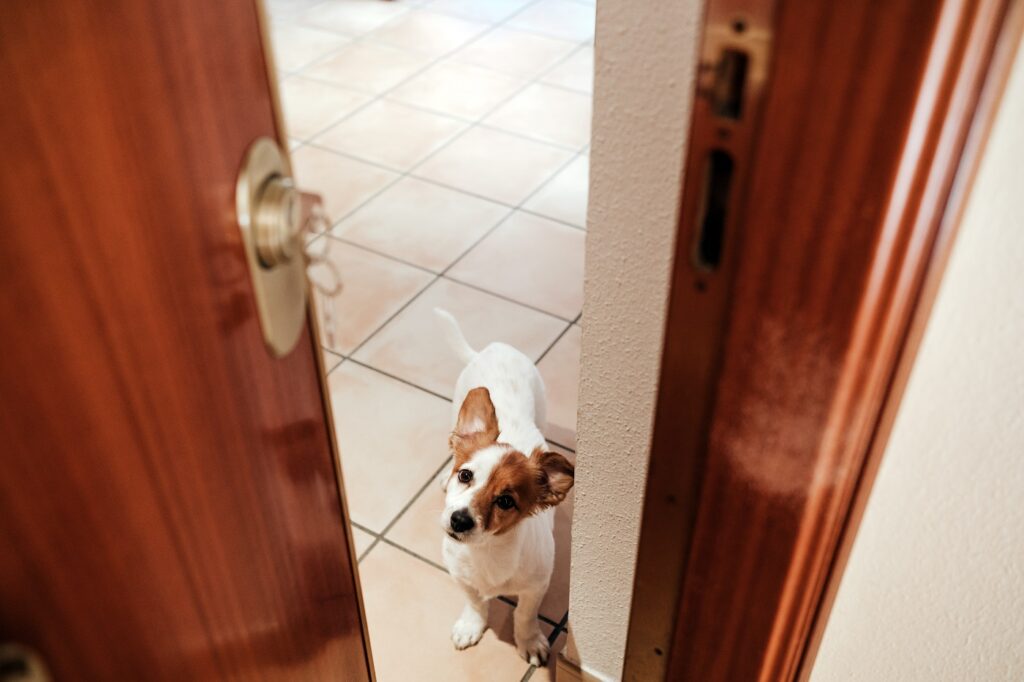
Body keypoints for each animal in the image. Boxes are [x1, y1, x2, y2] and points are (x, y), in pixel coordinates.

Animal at [434, 307, 577, 663]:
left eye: (506, 501)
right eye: (465, 475)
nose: (459, 520)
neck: (486, 552)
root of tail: (493, 348)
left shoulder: (536, 586)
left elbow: (524, 614)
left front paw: (529, 641)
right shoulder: (460, 577)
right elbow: (474, 603)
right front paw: (471, 625)